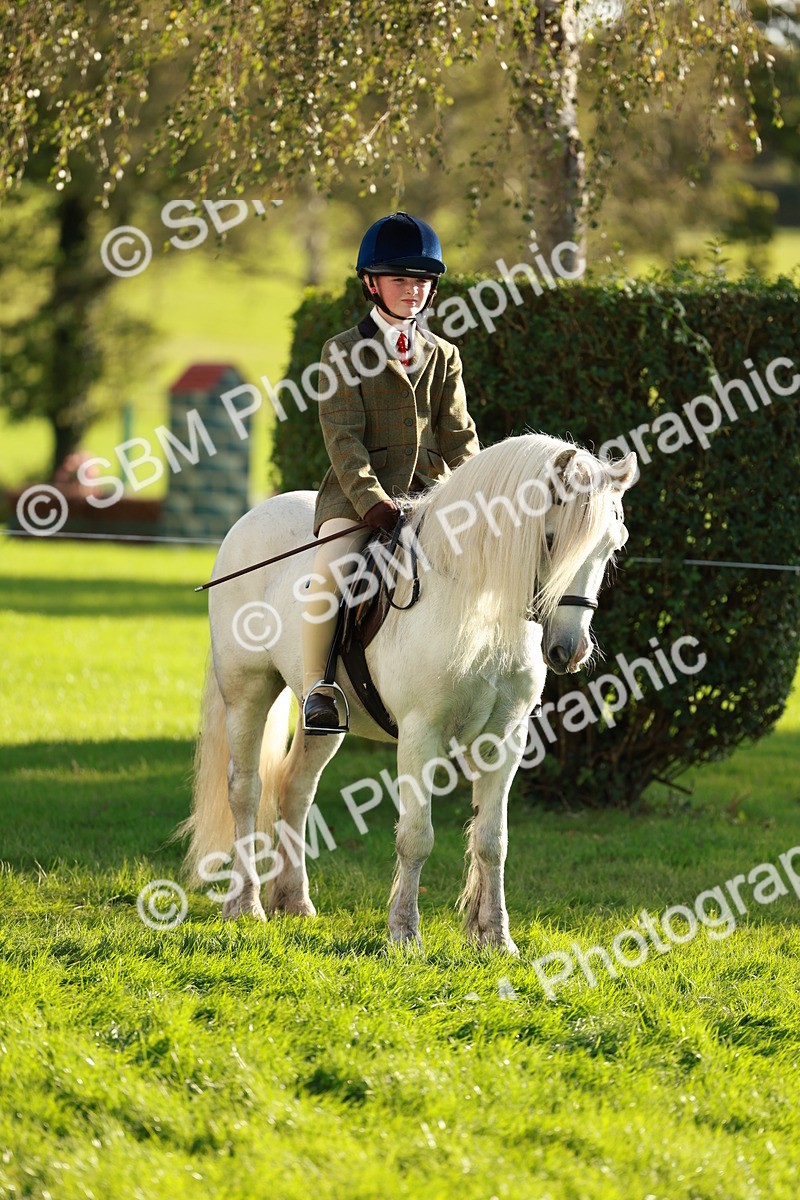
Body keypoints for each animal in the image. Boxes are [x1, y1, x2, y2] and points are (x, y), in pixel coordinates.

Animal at [179, 433, 637, 954]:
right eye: (552, 538)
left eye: (613, 545)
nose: (569, 650)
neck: (476, 601)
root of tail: (249, 518)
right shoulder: (422, 733)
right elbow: (416, 836)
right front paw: (403, 932)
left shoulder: (506, 737)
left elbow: (492, 840)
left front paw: (495, 936)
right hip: (247, 692)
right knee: (246, 790)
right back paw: (245, 905)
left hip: (325, 717)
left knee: (295, 788)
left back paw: (293, 901)